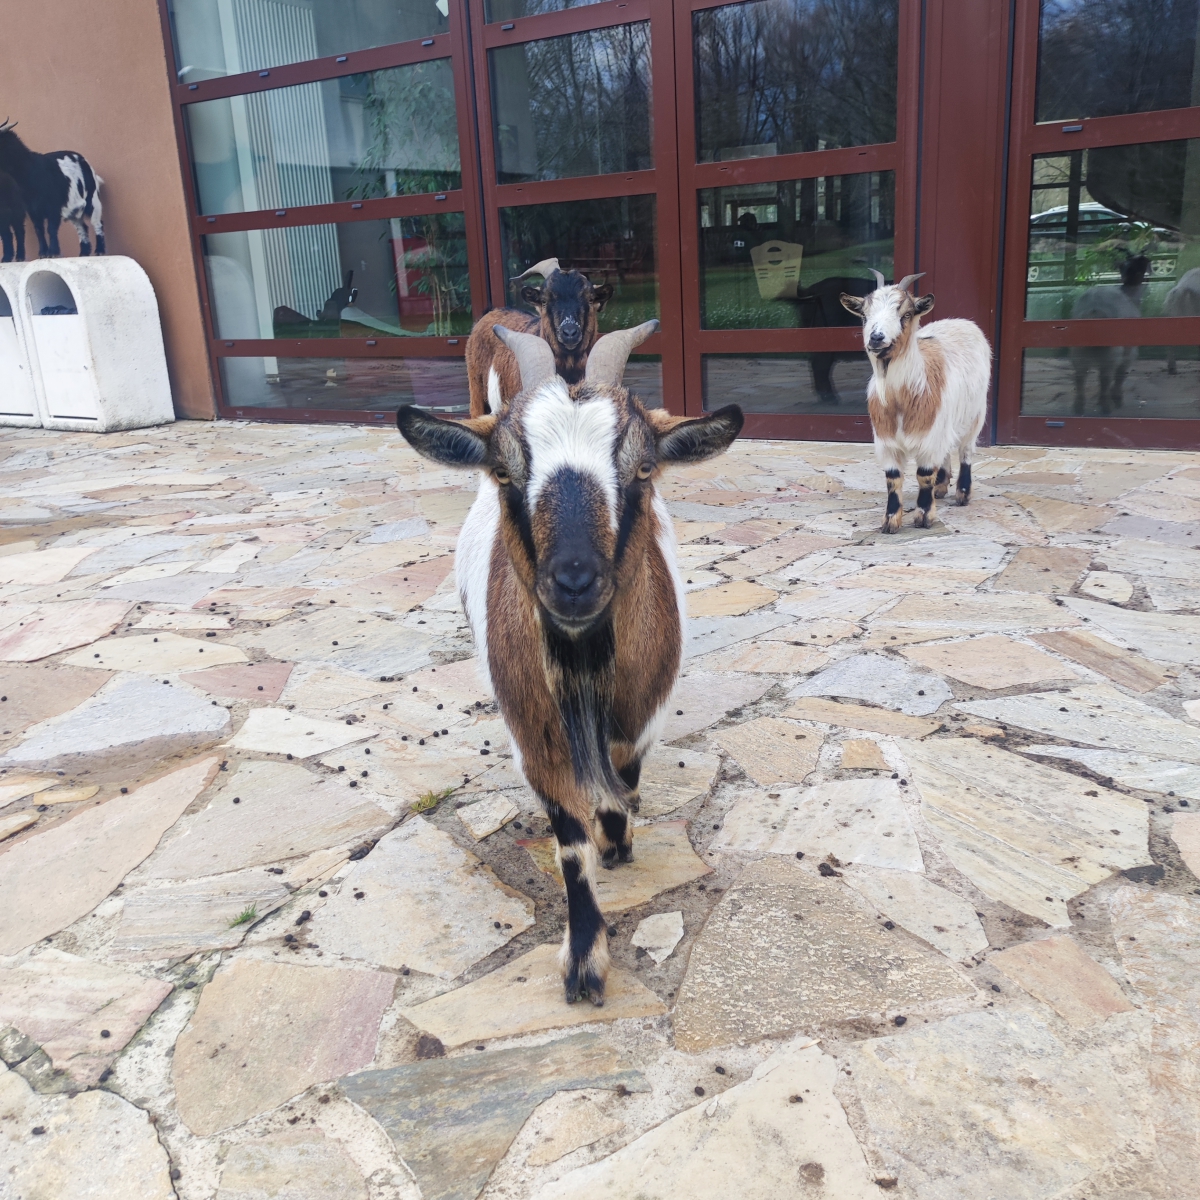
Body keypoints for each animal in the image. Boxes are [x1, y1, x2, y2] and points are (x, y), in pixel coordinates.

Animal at [398, 319, 744, 1003]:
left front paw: (618, 842)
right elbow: (569, 846)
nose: (575, 581)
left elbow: (623, 785)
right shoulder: (537, 738)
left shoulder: (643, 716)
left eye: (643, 468)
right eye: (504, 473)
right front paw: (584, 961)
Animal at [840, 274, 988, 537]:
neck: (900, 400)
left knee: (966, 451)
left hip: (975, 413)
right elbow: (893, 478)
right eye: (865, 315)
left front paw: (924, 517)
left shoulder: (929, 435)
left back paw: (962, 493)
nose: (876, 338)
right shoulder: (887, 439)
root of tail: (962, 322)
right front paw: (890, 522)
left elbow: (924, 475)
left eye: (905, 314)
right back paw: (941, 488)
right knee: (947, 451)